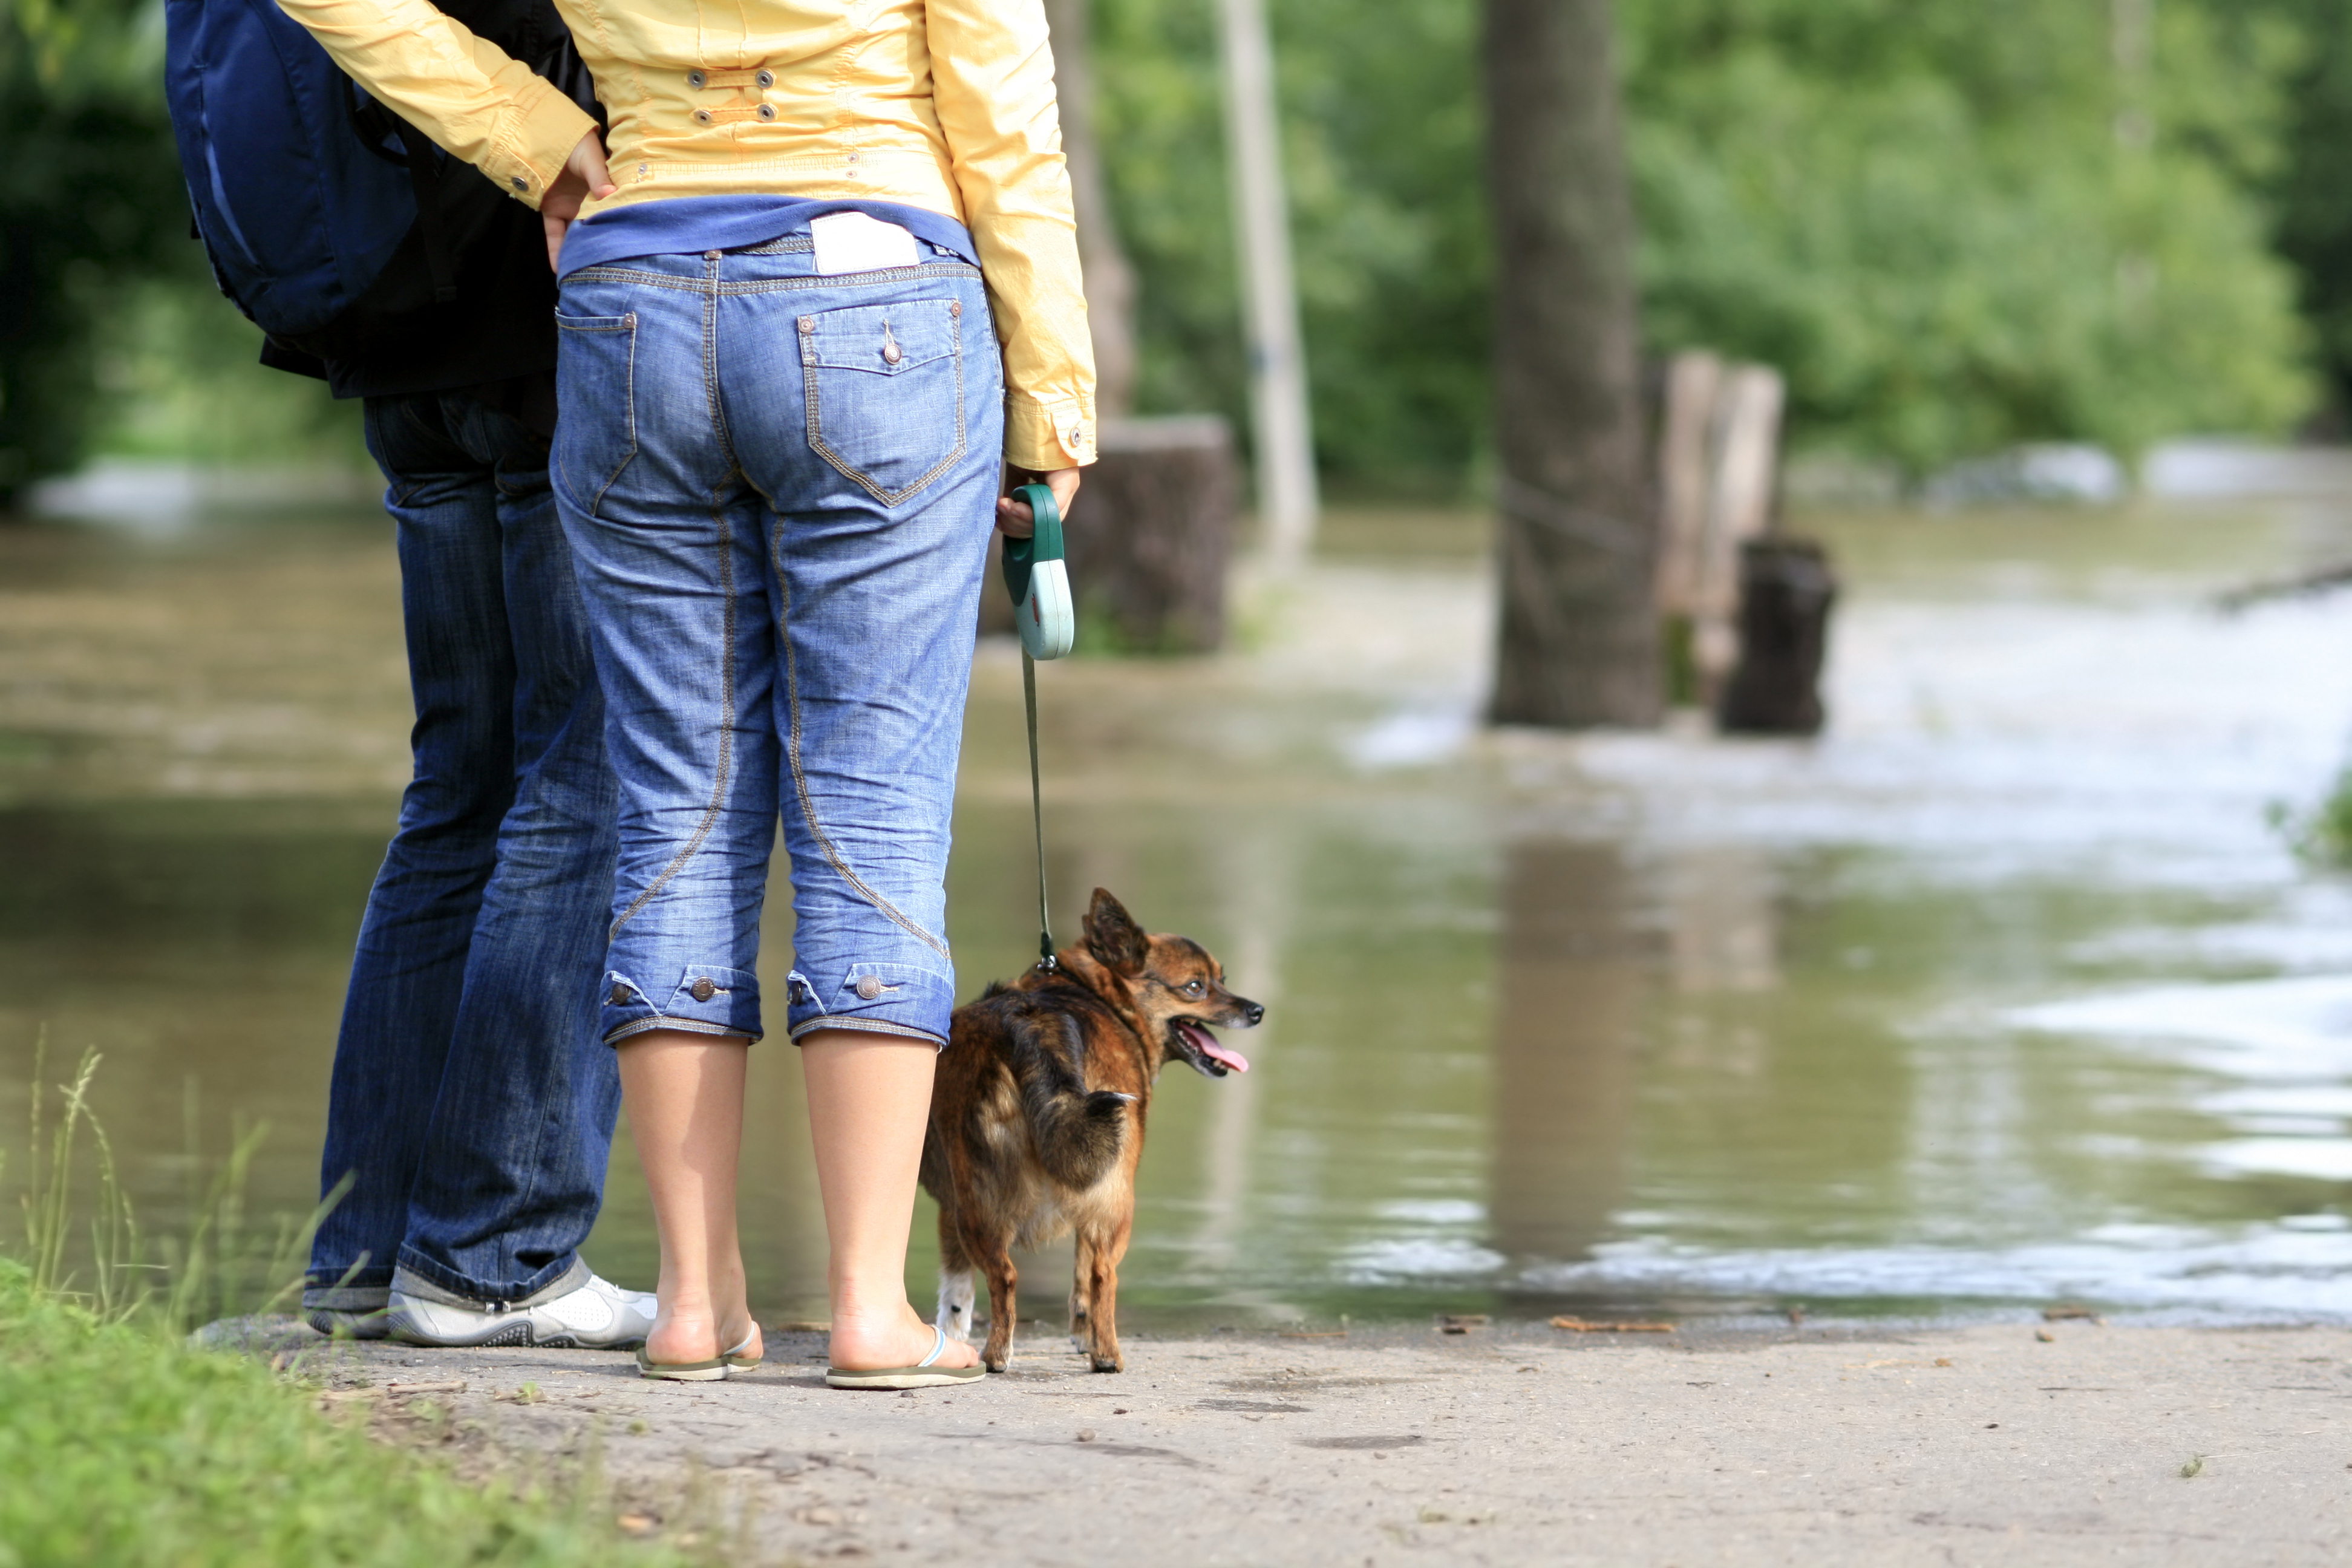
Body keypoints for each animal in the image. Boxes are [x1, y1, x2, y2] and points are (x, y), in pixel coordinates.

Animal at [912, 893, 1260, 1373]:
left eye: (1221, 981)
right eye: (1196, 987)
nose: (1257, 1011)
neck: (1094, 993)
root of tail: (1035, 1025)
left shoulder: (951, 1208)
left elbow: (956, 1290)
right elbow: (1079, 1277)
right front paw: (1083, 1334)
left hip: (978, 1201)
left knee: (1005, 1276)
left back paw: (999, 1356)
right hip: (1110, 1198)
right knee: (1101, 1274)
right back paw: (1105, 1355)